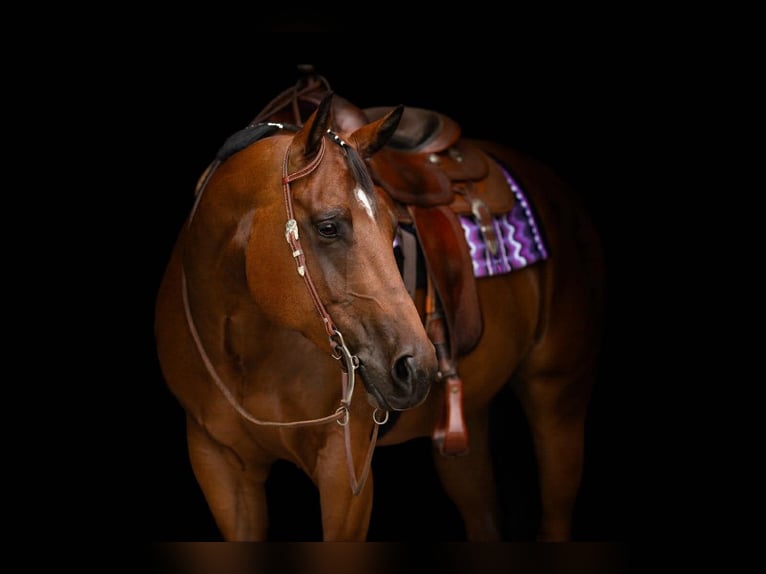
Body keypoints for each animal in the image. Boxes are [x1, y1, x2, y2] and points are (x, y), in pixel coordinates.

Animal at [154, 71, 606, 541]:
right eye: (328, 226)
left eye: (393, 226)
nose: (418, 366)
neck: (242, 348)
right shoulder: (220, 466)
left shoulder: (344, 471)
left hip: (558, 401)